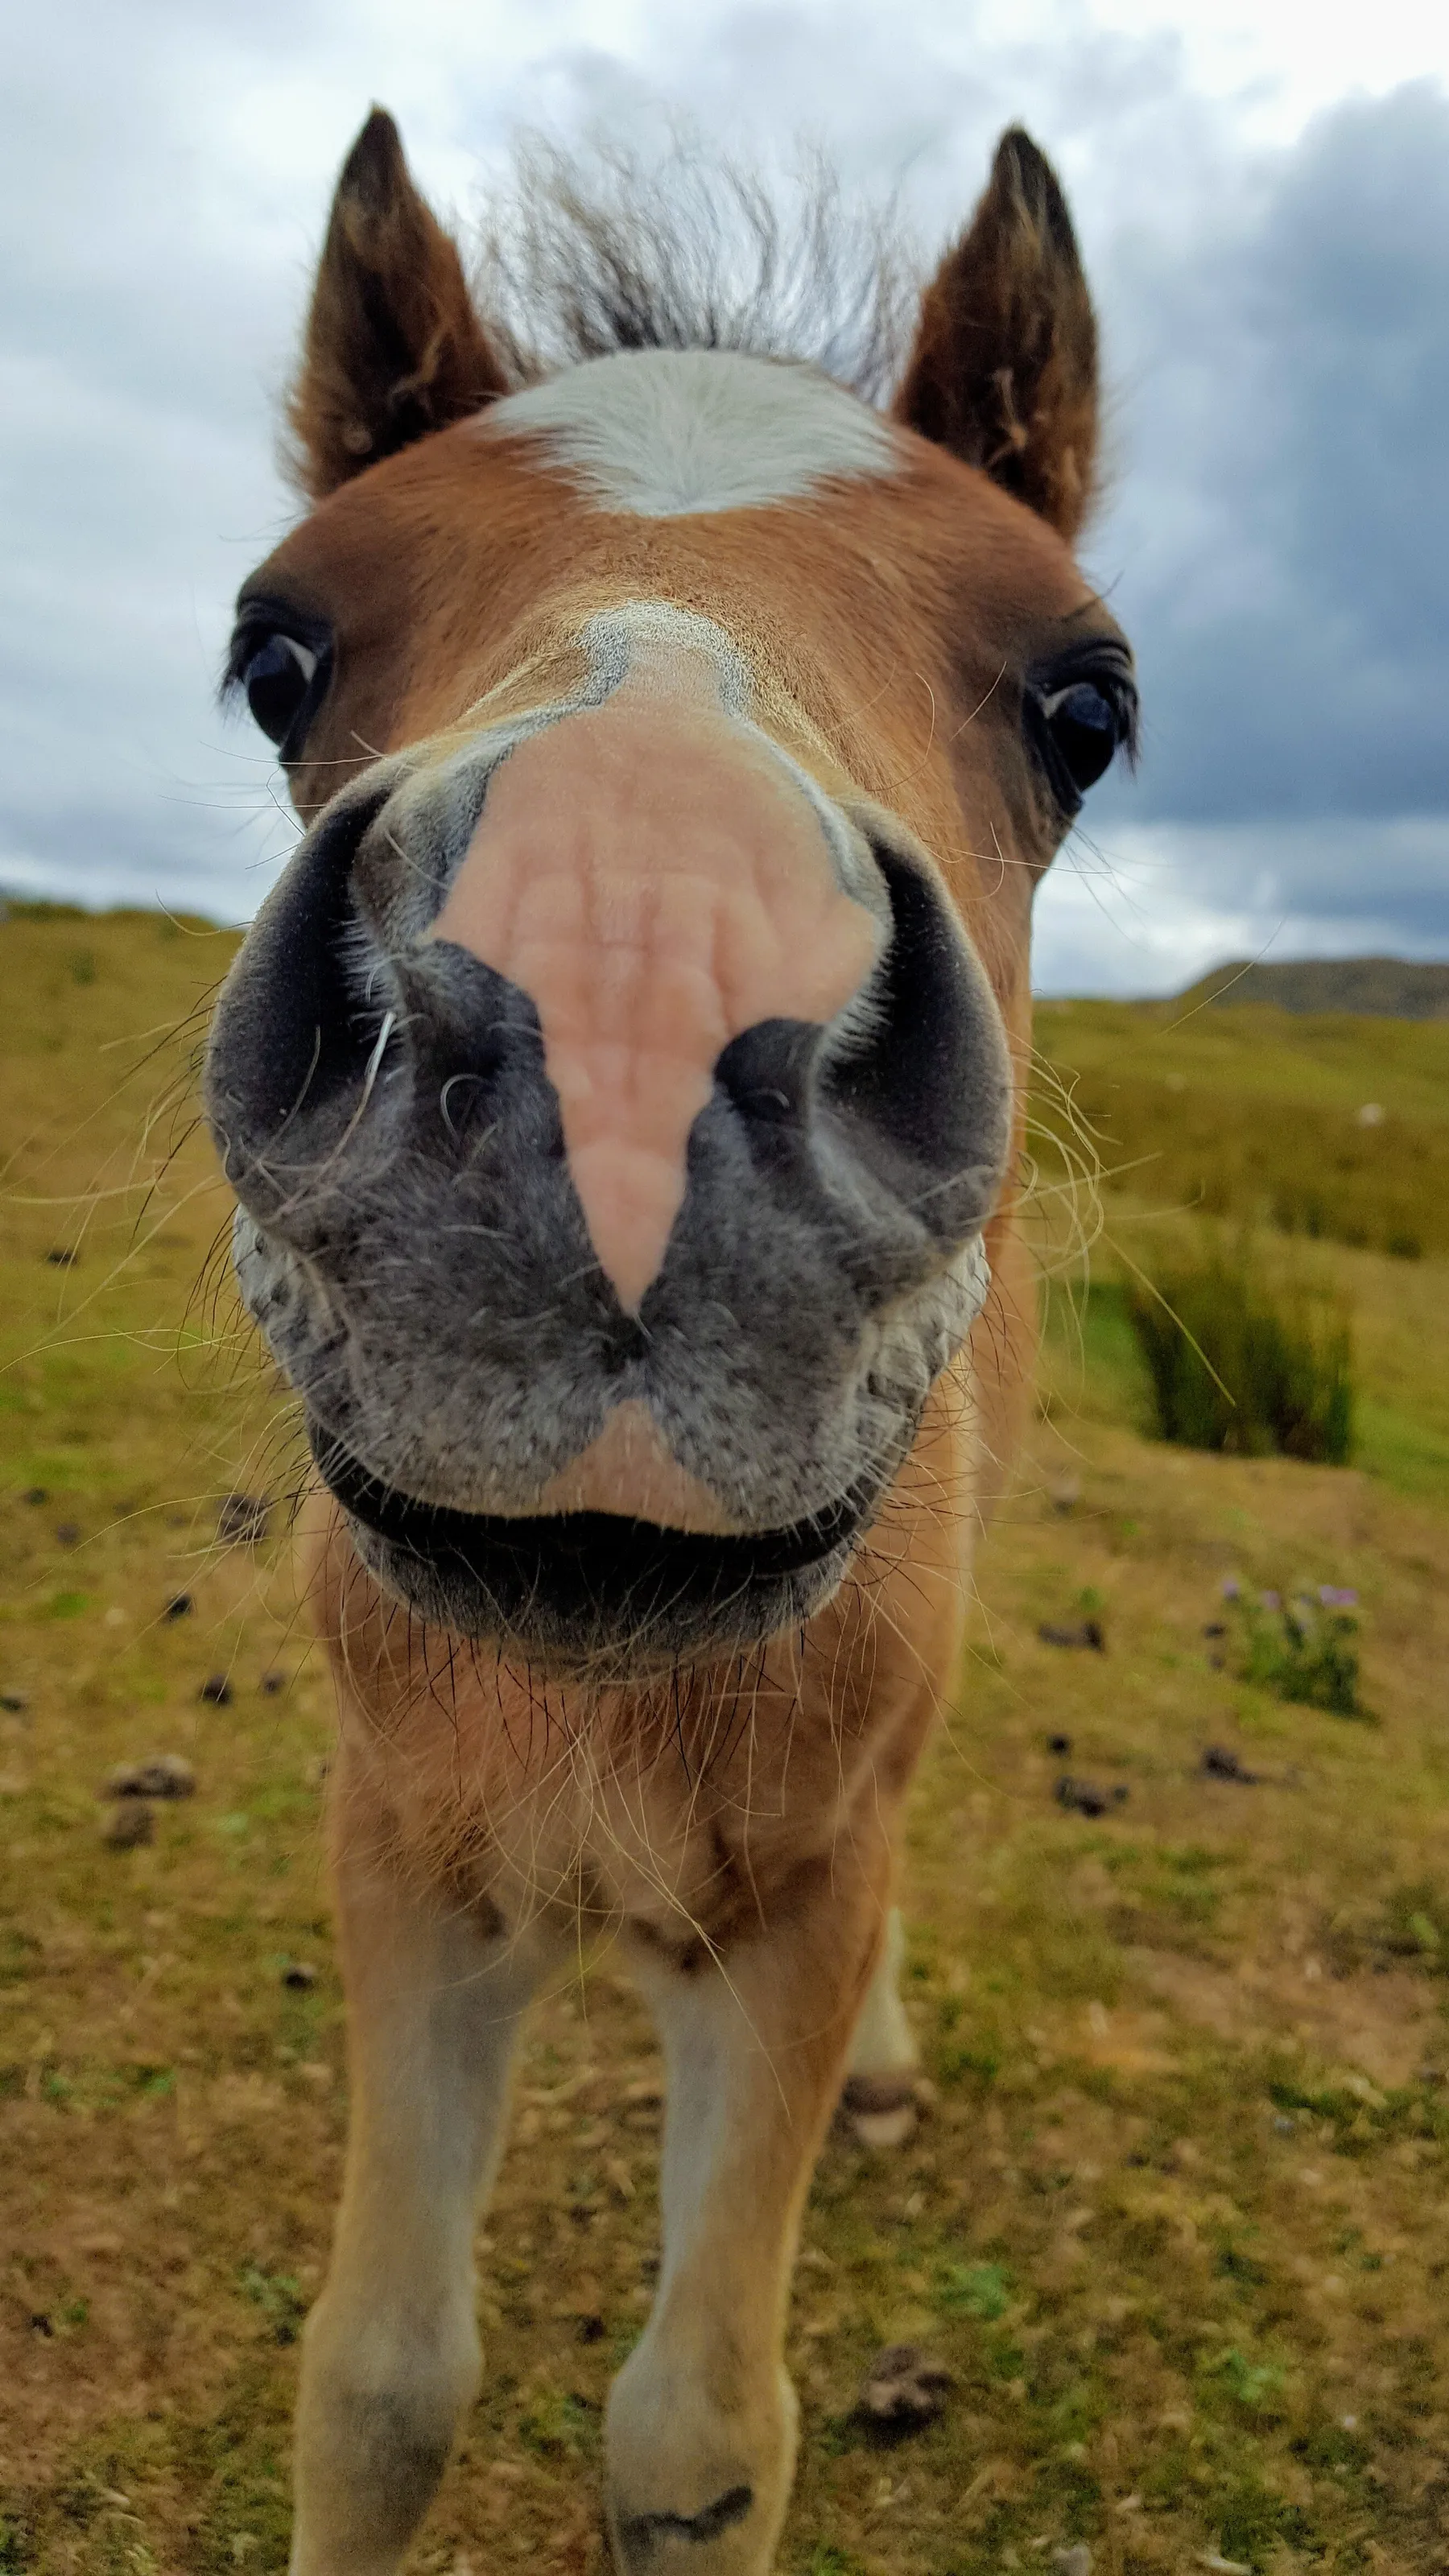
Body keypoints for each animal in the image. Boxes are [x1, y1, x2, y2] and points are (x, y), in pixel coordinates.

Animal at [204, 104, 1135, 2576]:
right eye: (273, 652)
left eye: (1087, 709)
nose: (622, 956)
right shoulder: (402, 1857)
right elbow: (379, 2385)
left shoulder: (794, 1906)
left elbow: (701, 2440)